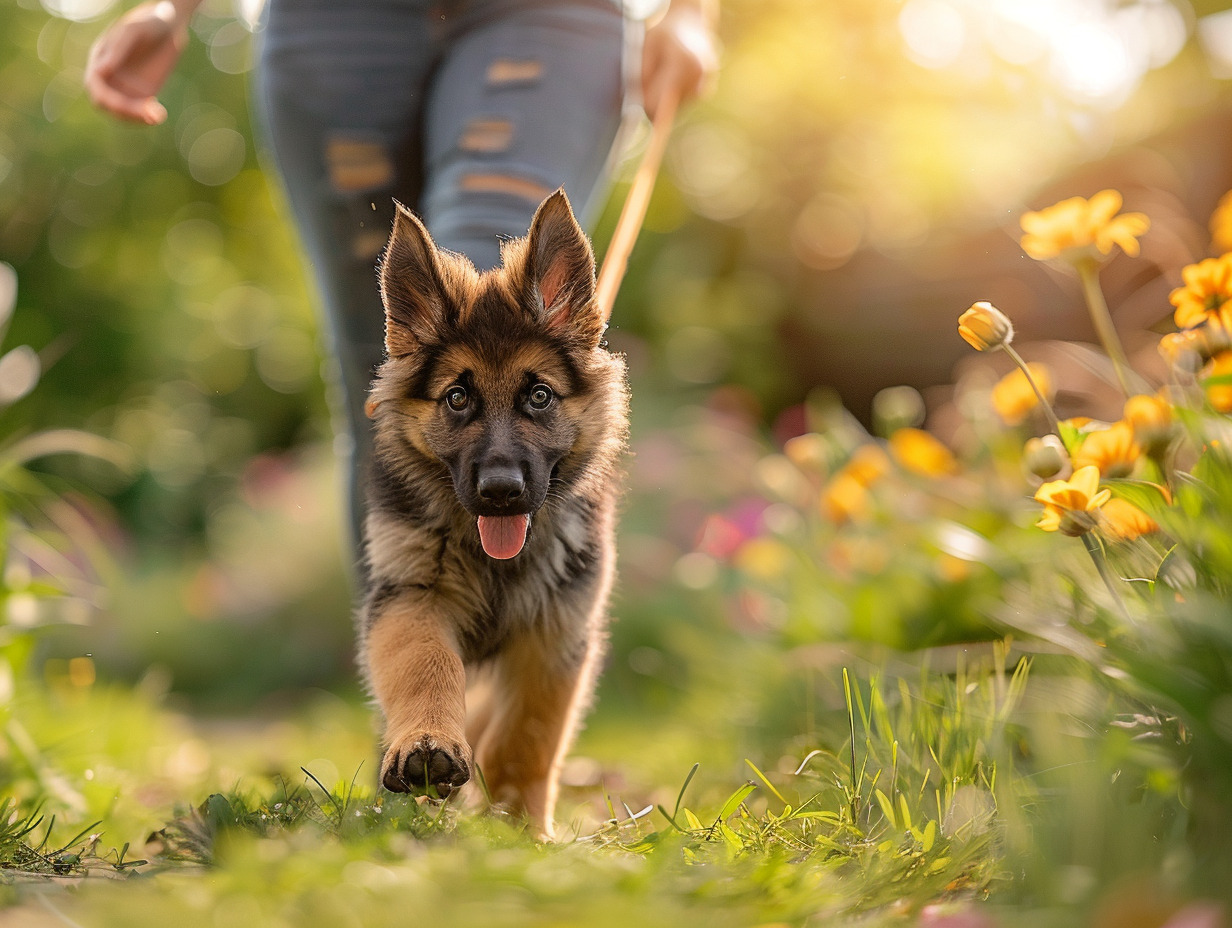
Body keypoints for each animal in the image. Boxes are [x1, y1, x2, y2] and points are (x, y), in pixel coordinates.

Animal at [357, 192, 625, 838]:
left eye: (539, 396)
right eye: (458, 398)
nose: (501, 491)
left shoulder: (556, 634)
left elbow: (528, 739)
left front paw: (522, 830)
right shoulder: (411, 598)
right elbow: (426, 667)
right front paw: (427, 745)